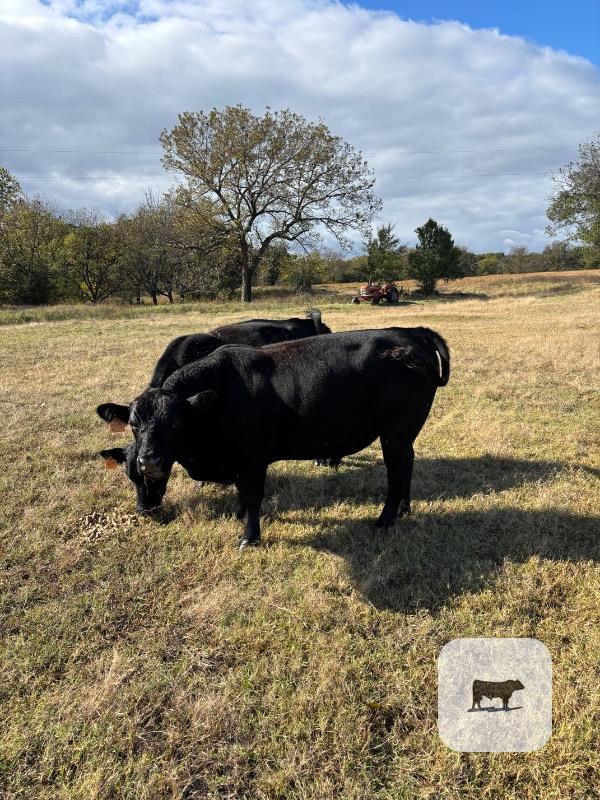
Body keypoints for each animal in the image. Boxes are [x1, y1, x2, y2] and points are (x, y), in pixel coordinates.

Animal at [97, 326, 450, 549]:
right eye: (133, 424)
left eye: (176, 422)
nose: (149, 462)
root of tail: (413, 332)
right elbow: (242, 496)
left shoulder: (253, 459)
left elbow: (253, 497)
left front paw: (249, 537)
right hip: (401, 436)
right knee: (406, 465)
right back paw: (404, 510)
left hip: (396, 432)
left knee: (397, 470)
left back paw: (386, 519)